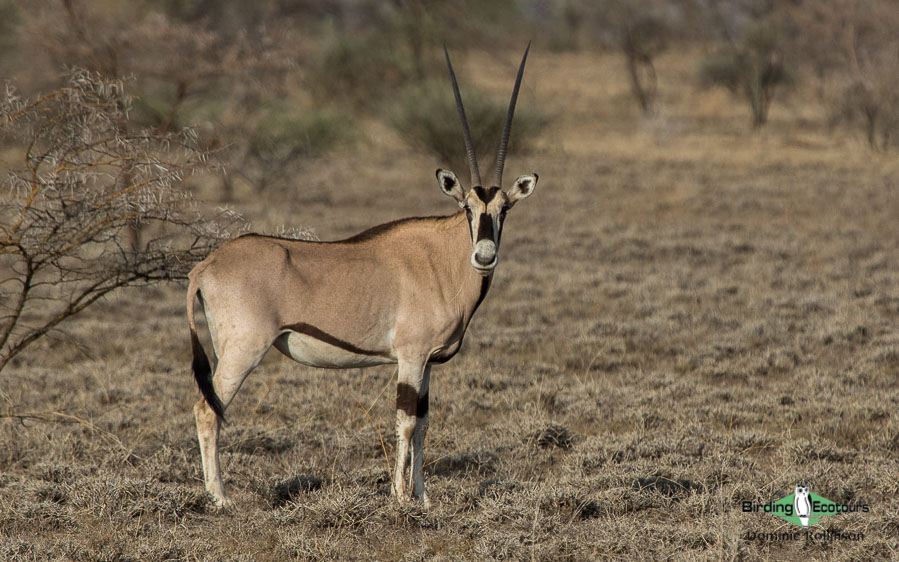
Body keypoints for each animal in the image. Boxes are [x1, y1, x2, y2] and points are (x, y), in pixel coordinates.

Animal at [183, 44, 536, 508]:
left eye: (504, 210)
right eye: (467, 209)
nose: (484, 255)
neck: (442, 258)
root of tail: (205, 266)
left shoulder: (427, 363)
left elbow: (424, 424)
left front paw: (423, 499)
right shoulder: (410, 357)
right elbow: (406, 422)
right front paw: (401, 498)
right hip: (243, 350)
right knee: (208, 409)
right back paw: (219, 497)